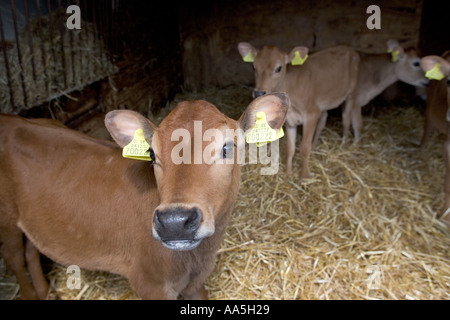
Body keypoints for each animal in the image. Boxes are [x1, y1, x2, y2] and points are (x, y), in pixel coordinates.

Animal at [0, 93, 288, 300]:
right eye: (151, 154)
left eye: (228, 147)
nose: (174, 222)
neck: (197, 258)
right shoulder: (151, 283)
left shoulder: (196, 283)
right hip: (6, 218)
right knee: (15, 258)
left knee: (31, 250)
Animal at [237, 42, 360, 179]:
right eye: (254, 67)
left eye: (279, 68)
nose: (259, 93)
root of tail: (347, 47)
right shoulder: (290, 120)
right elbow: (290, 148)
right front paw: (288, 172)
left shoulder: (311, 114)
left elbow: (304, 147)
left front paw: (304, 175)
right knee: (323, 120)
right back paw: (315, 145)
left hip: (352, 93)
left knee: (346, 118)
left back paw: (345, 144)